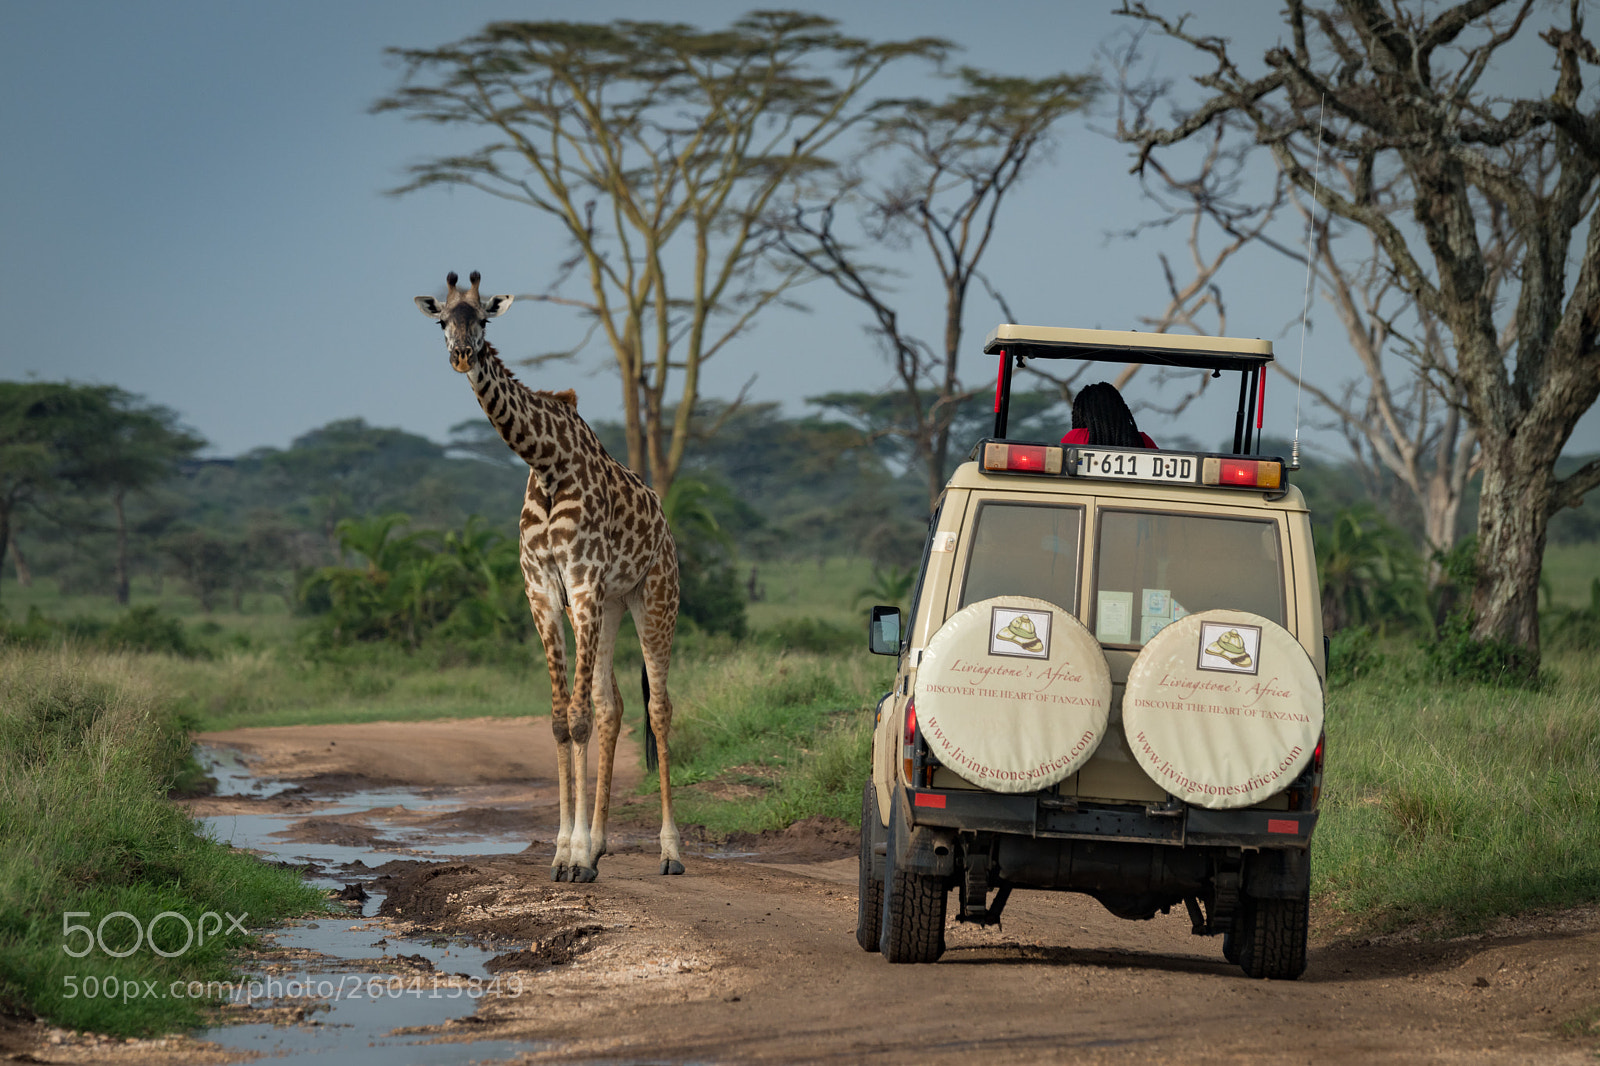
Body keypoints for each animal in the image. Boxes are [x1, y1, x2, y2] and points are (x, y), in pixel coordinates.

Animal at [415, 271, 684, 882]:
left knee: (658, 708)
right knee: (614, 706)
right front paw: (566, 851)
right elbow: (564, 718)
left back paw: (670, 852)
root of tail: (663, 521)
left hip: (653, 597)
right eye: (442, 321)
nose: (462, 356)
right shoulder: (542, 591)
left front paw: (578, 857)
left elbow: (579, 718)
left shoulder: (581, 583)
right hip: (612, 603)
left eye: (482, 318)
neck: (545, 462)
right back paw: (603, 844)